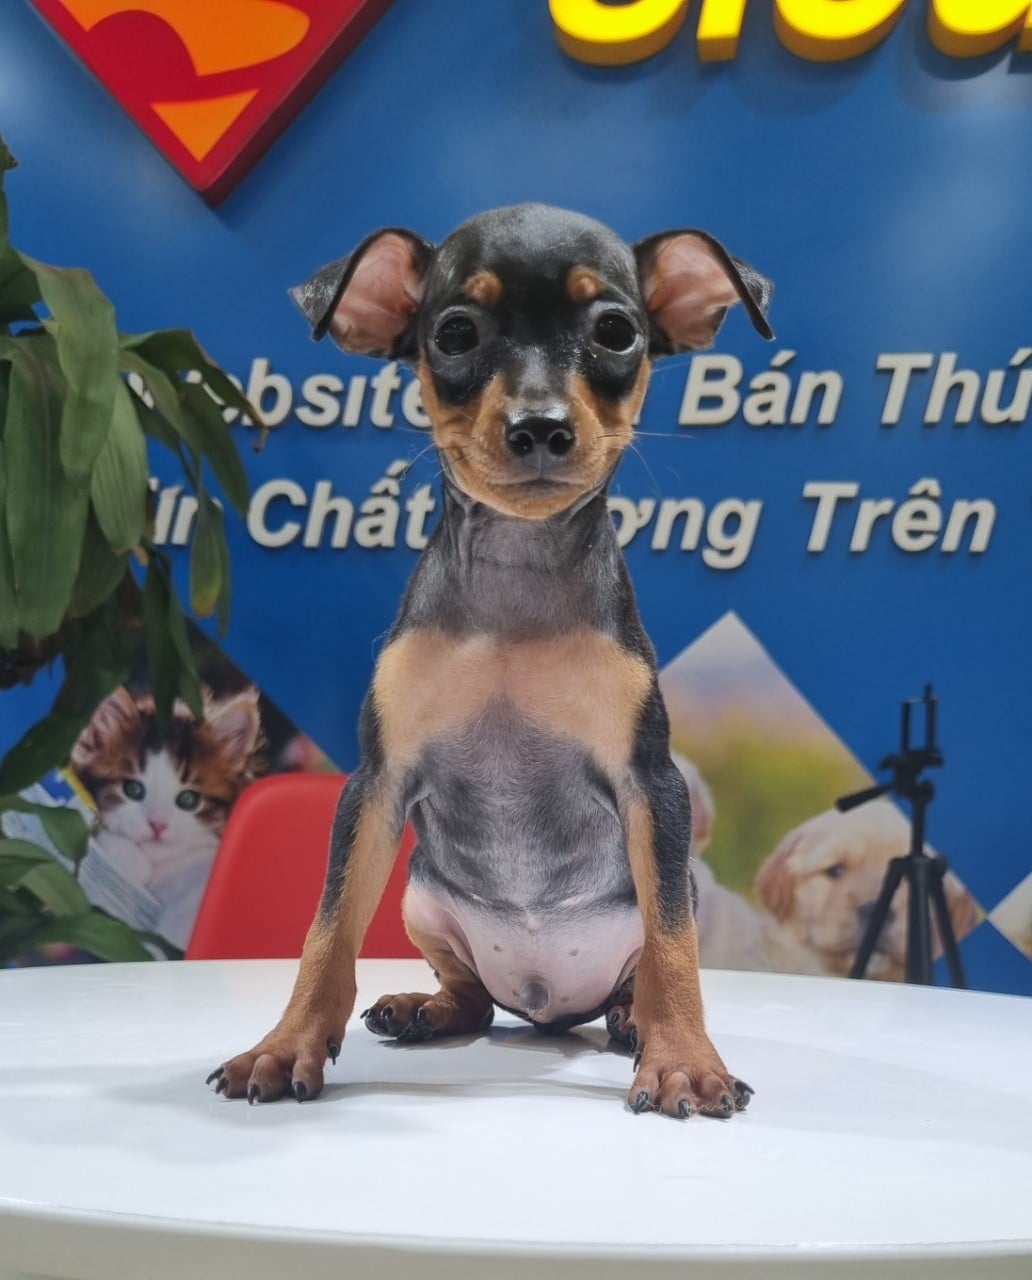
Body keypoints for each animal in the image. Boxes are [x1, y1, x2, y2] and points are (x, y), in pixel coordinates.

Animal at [208, 204, 773, 1118]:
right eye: (456, 334)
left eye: (616, 332)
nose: (540, 426)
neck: (517, 574)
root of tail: (547, 1007)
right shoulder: (375, 785)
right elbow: (326, 930)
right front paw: (285, 1046)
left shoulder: (652, 786)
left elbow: (675, 946)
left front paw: (686, 1059)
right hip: (422, 896)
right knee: (472, 995)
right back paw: (424, 1008)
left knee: (641, 969)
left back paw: (632, 1022)